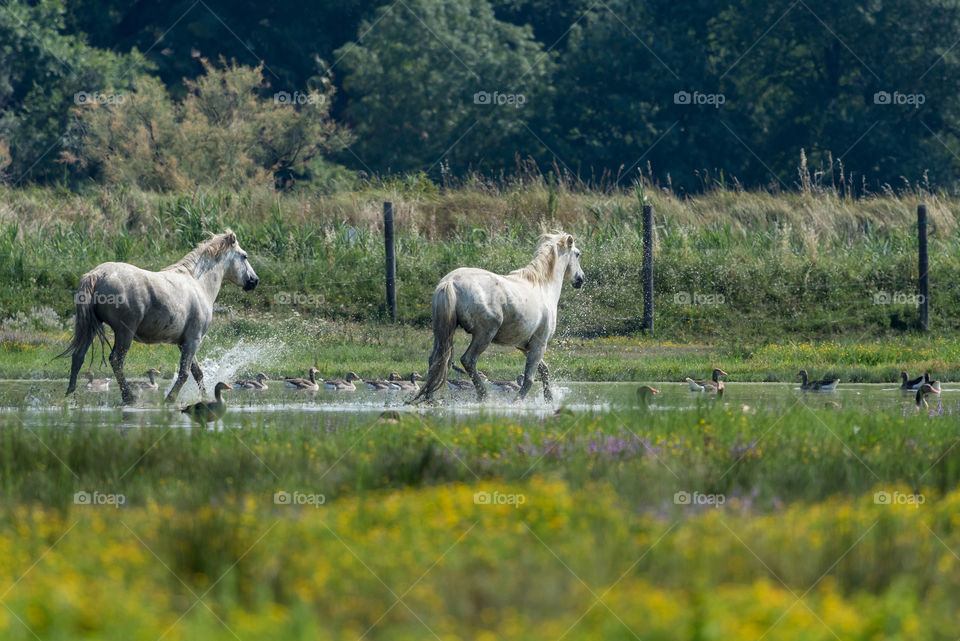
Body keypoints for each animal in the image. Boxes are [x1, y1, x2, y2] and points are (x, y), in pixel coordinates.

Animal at [62, 228, 260, 402]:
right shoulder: (193, 340)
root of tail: (97, 274)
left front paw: (204, 397)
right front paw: (170, 399)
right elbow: (184, 373)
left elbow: (197, 373)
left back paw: (71, 395)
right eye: (244, 256)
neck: (198, 283)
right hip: (124, 333)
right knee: (116, 360)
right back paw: (128, 397)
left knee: (78, 357)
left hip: (92, 328)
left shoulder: (184, 342)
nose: (254, 280)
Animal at [408, 230, 580, 400]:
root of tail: (450, 282)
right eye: (577, 254)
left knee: (436, 361)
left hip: (441, 332)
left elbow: (544, 370)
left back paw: (430, 398)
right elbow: (530, 378)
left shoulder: (524, 345)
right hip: (484, 334)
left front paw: (549, 399)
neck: (542, 287)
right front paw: (518, 401)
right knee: (468, 360)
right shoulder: (539, 344)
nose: (581, 279)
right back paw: (483, 395)